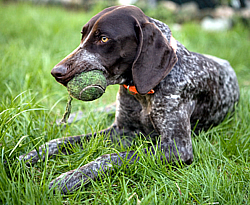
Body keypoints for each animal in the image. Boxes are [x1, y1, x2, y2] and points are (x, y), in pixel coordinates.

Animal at [18, 5, 239, 194]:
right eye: (83, 35)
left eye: (104, 39)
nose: (56, 72)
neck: (140, 92)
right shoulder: (122, 130)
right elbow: (64, 141)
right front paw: (33, 154)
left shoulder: (176, 147)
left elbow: (110, 157)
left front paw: (71, 177)